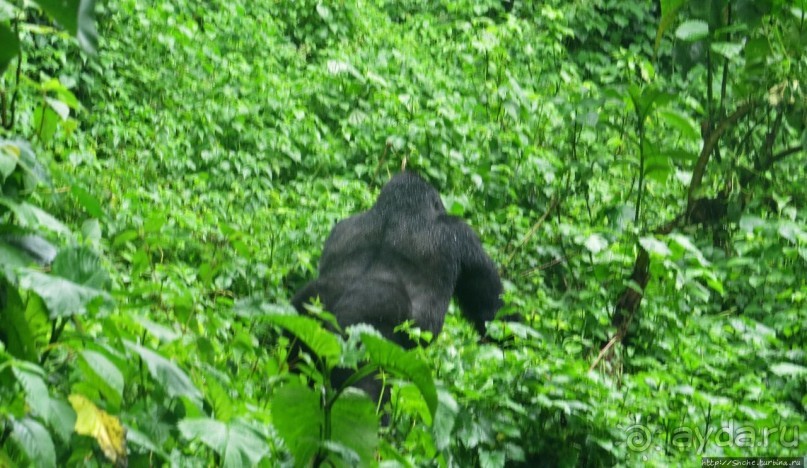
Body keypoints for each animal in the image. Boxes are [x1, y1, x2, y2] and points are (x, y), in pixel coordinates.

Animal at [290, 172, 504, 398]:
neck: (396, 211)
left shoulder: (342, 226)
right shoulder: (460, 233)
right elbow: (492, 312)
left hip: (301, 321)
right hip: (363, 342)